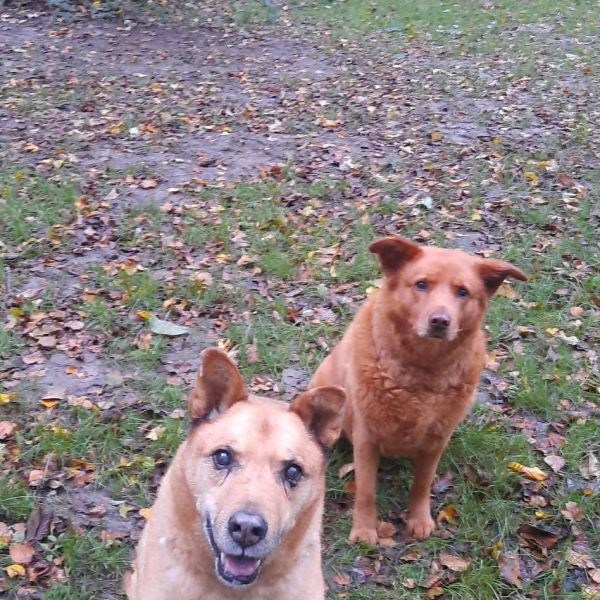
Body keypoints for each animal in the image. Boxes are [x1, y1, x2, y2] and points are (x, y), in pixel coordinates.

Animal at [312, 236, 528, 544]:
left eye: (463, 292)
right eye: (421, 284)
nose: (440, 321)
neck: (421, 375)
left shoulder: (435, 440)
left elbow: (422, 485)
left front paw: (418, 519)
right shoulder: (366, 438)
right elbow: (366, 490)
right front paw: (364, 529)